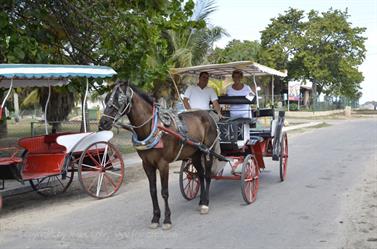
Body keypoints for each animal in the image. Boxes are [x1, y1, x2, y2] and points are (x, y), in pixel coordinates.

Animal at [98, 80, 219, 230]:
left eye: (119, 99)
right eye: (106, 99)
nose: (103, 123)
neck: (153, 127)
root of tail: (208, 115)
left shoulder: (163, 164)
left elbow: (164, 192)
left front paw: (167, 219)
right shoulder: (147, 164)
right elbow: (153, 191)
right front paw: (155, 218)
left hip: (208, 151)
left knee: (207, 175)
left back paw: (205, 203)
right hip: (195, 154)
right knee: (200, 175)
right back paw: (201, 201)